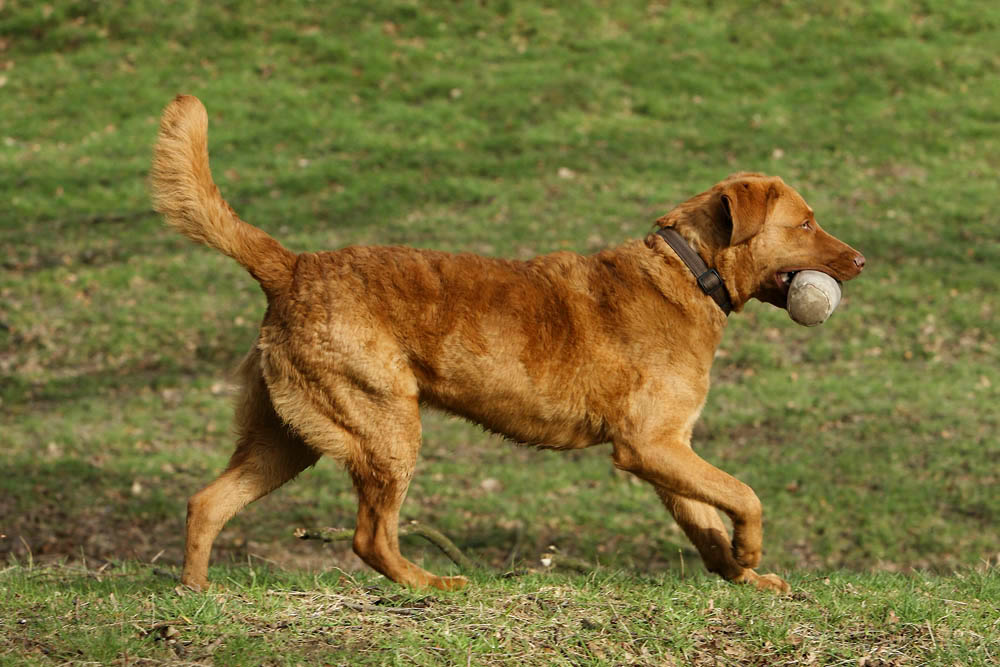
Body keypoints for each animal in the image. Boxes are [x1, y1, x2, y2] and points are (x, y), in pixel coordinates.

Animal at [150, 95, 868, 596]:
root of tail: (292, 265)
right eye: (806, 223)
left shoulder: (670, 449)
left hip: (289, 436)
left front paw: (746, 575)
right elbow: (744, 495)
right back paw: (433, 584)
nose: (862, 259)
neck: (689, 272)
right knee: (369, 535)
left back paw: (195, 592)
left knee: (206, 503)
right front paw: (751, 552)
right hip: (385, 427)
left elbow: (708, 525)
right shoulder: (650, 445)